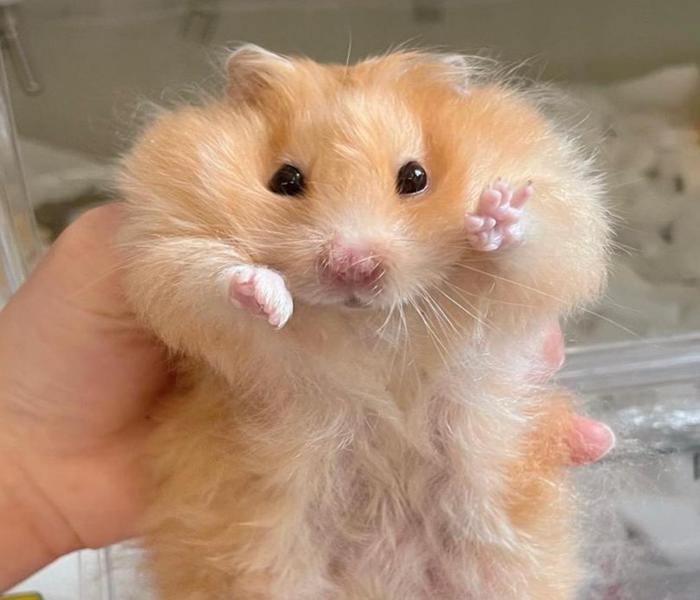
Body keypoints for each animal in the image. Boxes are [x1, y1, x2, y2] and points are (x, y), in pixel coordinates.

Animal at [119, 45, 609, 599]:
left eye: (415, 177)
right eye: (285, 181)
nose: (352, 267)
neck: (362, 324)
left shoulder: (561, 216)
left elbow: (529, 244)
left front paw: (496, 215)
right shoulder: (164, 242)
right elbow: (208, 272)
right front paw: (266, 296)